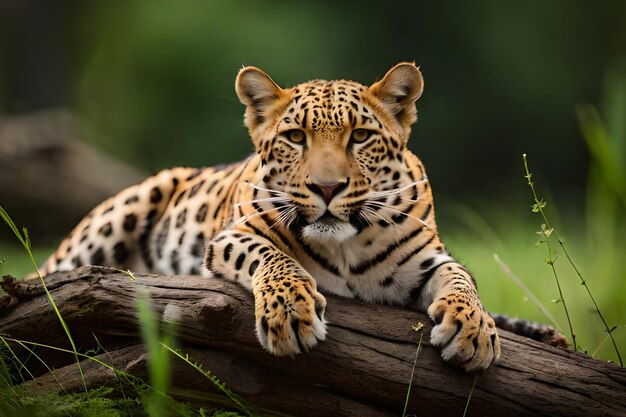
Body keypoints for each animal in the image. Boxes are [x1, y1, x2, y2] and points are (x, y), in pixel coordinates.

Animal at [39, 63, 500, 372]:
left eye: (360, 136)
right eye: (295, 137)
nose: (327, 187)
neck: (344, 243)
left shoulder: (428, 259)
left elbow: (462, 280)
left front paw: (474, 328)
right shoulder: (234, 235)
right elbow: (275, 259)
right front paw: (289, 313)